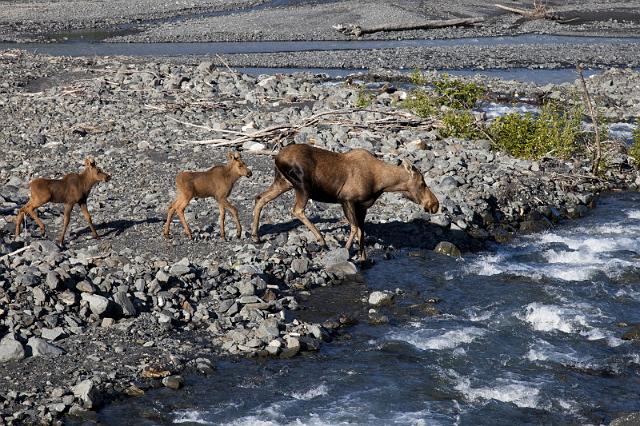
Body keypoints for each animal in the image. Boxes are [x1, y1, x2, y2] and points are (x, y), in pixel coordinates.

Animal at [251, 145, 440, 262]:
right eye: (422, 183)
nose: (434, 204)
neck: (381, 183)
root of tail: (277, 158)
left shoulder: (362, 206)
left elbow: (361, 232)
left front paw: (363, 259)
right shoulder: (347, 199)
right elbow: (355, 228)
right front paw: (346, 251)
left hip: (283, 182)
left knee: (260, 198)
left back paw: (255, 235)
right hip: (302, 186)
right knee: (297, 210)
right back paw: (321, 240)